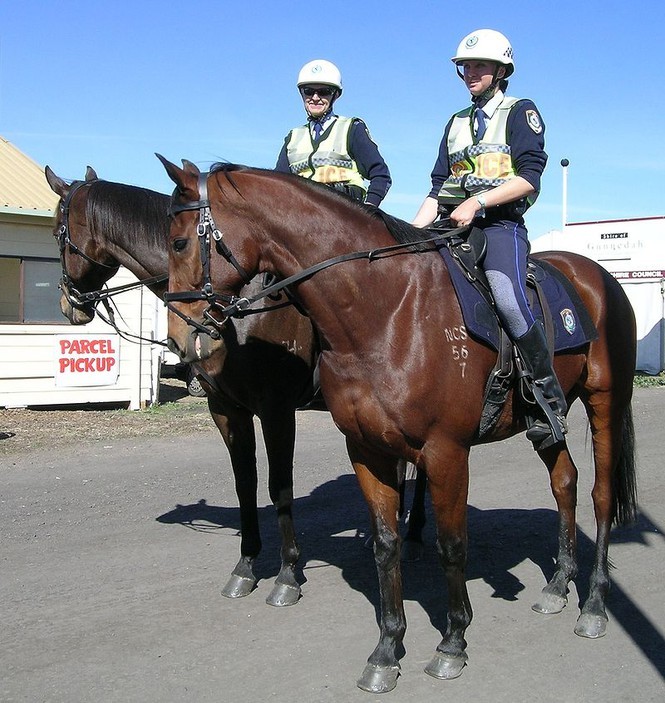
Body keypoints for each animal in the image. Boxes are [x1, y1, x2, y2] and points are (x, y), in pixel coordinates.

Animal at [157, 158, 640, 692]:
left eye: (179, 242)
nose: (179, 339)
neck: (387, 311)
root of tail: (598, 276)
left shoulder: (446, 452)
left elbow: (452, 545)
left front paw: (453, 642)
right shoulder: (367, 451)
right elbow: (385, 546)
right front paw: (387, 650)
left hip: (606, 403)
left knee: (600, 495)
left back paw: (593, 604)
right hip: (545, 424)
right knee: (565, 483)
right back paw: (557, 586)